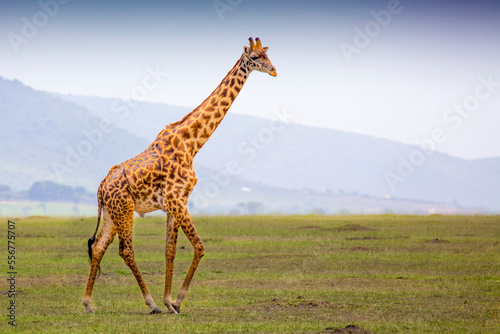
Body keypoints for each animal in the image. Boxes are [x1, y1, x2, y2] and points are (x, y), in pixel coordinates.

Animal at [82, 37, 278, 314]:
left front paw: (169, 302)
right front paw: (175, 300)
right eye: (255, 57)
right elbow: (199, 246)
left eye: (268, 55)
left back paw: (88, 303)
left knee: (98, 247)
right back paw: (150, 303)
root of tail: (100, 187)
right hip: (124, 210)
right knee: (126, 250)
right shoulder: (177, 200)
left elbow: (170, 251)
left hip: (111, 213)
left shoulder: (175, 202)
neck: (192, 143)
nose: (274, 70)